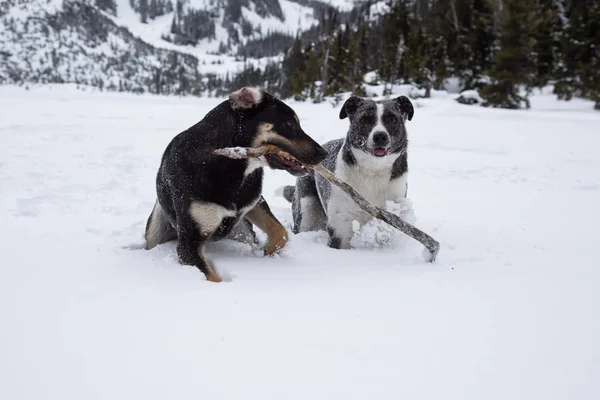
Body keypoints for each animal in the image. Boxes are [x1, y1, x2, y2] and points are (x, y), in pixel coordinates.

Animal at [144, 87, 326, 282]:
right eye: (290, 123)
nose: (324, 153)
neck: (227, 164)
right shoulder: (189, 244)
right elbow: (213, 278)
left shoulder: (255, 202)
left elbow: (281, 232)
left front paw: (266, 251)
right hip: (155, 231)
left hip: (243, 231)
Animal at [284, 95, 414, 248]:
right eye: (365, 119)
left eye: (392, 119)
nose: (380, 136)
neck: (373, 170)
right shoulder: (340, 227)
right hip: (306, 208)